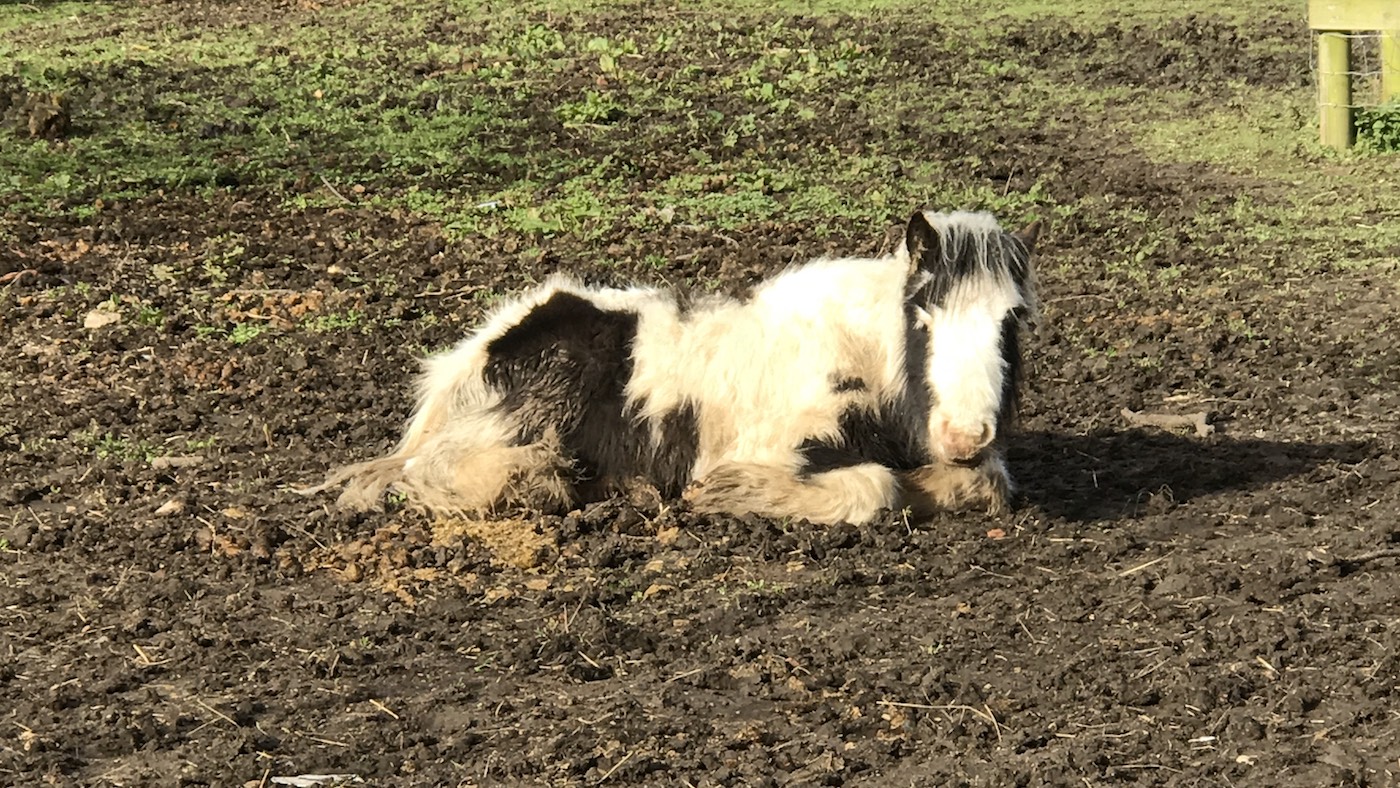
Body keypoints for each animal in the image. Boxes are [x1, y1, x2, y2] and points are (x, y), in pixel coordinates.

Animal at [305, 209, 1041, 525]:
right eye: (924, 314)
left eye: (1012, 320)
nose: (964, 435)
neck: (859, 350)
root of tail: (476, 353)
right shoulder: (779, 448)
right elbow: (874, 489)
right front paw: (725, 494)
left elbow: (987, 482)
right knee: (429, 474)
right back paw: (549, 483)